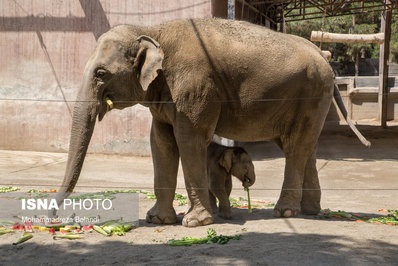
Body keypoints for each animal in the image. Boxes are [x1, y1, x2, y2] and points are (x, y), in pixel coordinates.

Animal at [54, 18, 368, 227]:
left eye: (101, 74)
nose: (56, 216)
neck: (153, 31)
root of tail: (325, 59)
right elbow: (161, 143)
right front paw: (158, 220)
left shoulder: (196, 88)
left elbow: (189, 140)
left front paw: (195, 223)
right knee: (307, 148)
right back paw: (310, 211)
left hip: (310, 95)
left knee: (295, 147)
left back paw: (286, 213)